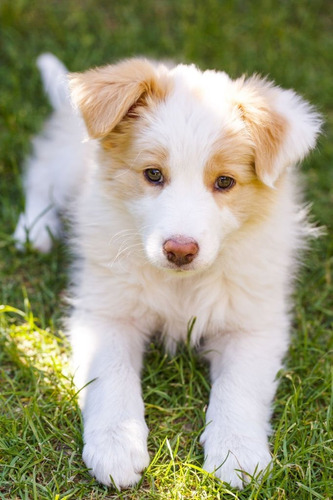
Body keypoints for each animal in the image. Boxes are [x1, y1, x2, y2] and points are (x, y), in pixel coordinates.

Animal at [14, 53, 320, 488]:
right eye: (153, 174)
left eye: (225, 181)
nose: (180, 250)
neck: (181, 284)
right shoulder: (106, 312)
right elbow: (111, 376)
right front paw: (116, 445)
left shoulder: (253, 323)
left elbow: (240, 386)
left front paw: (236, 452)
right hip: (67, 165)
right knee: (40, 173)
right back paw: (34, 230)